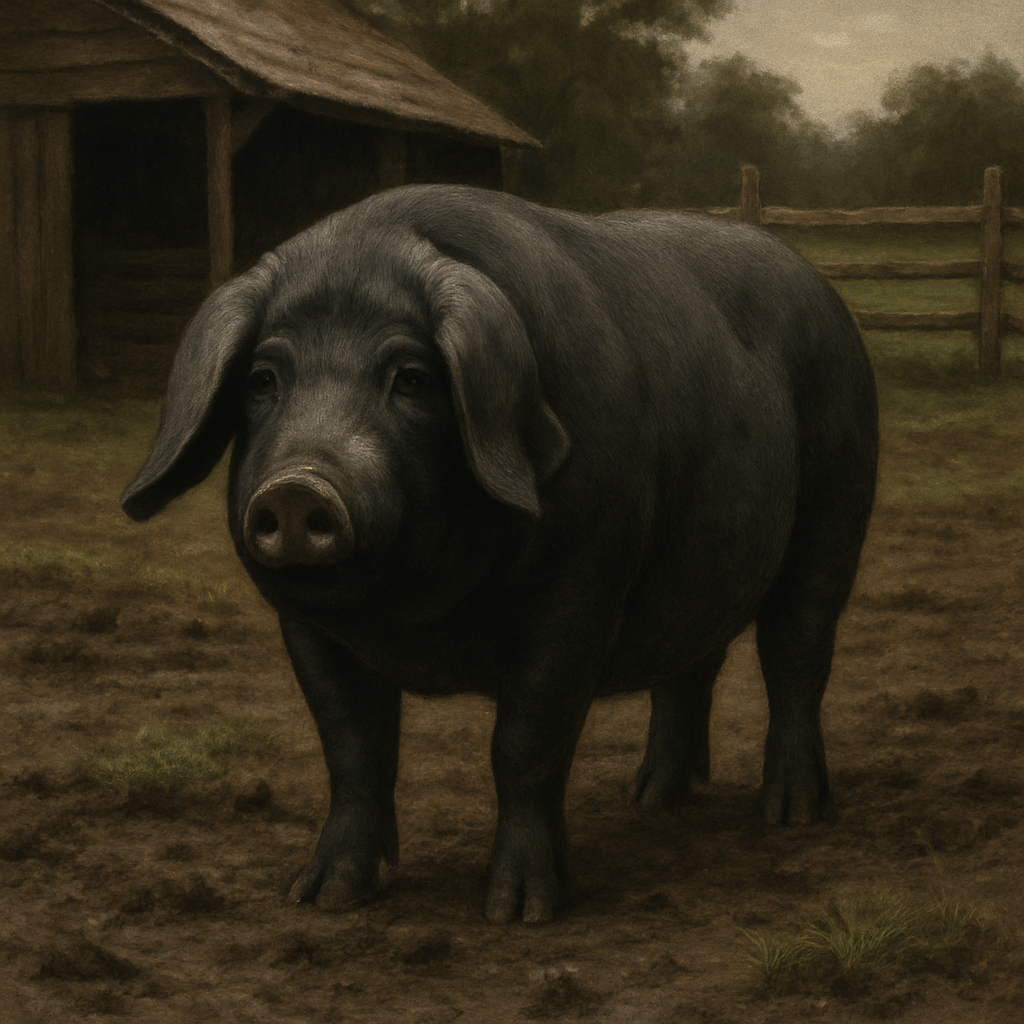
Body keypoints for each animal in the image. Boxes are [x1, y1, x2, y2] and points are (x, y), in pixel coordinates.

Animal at [121, 184, 878, 924]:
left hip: (838, 502)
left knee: (797, 654)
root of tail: (824, 292)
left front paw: (517, 914)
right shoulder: (306, 627)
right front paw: (320, 898)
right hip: (698, 563)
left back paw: (790, 815)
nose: (299, 487)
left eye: (411, 378)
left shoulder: (581, 591)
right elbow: (353, 747)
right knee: (690, 663)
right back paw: (650, 802)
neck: (414, 619)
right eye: (262, 380)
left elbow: (524, 744)